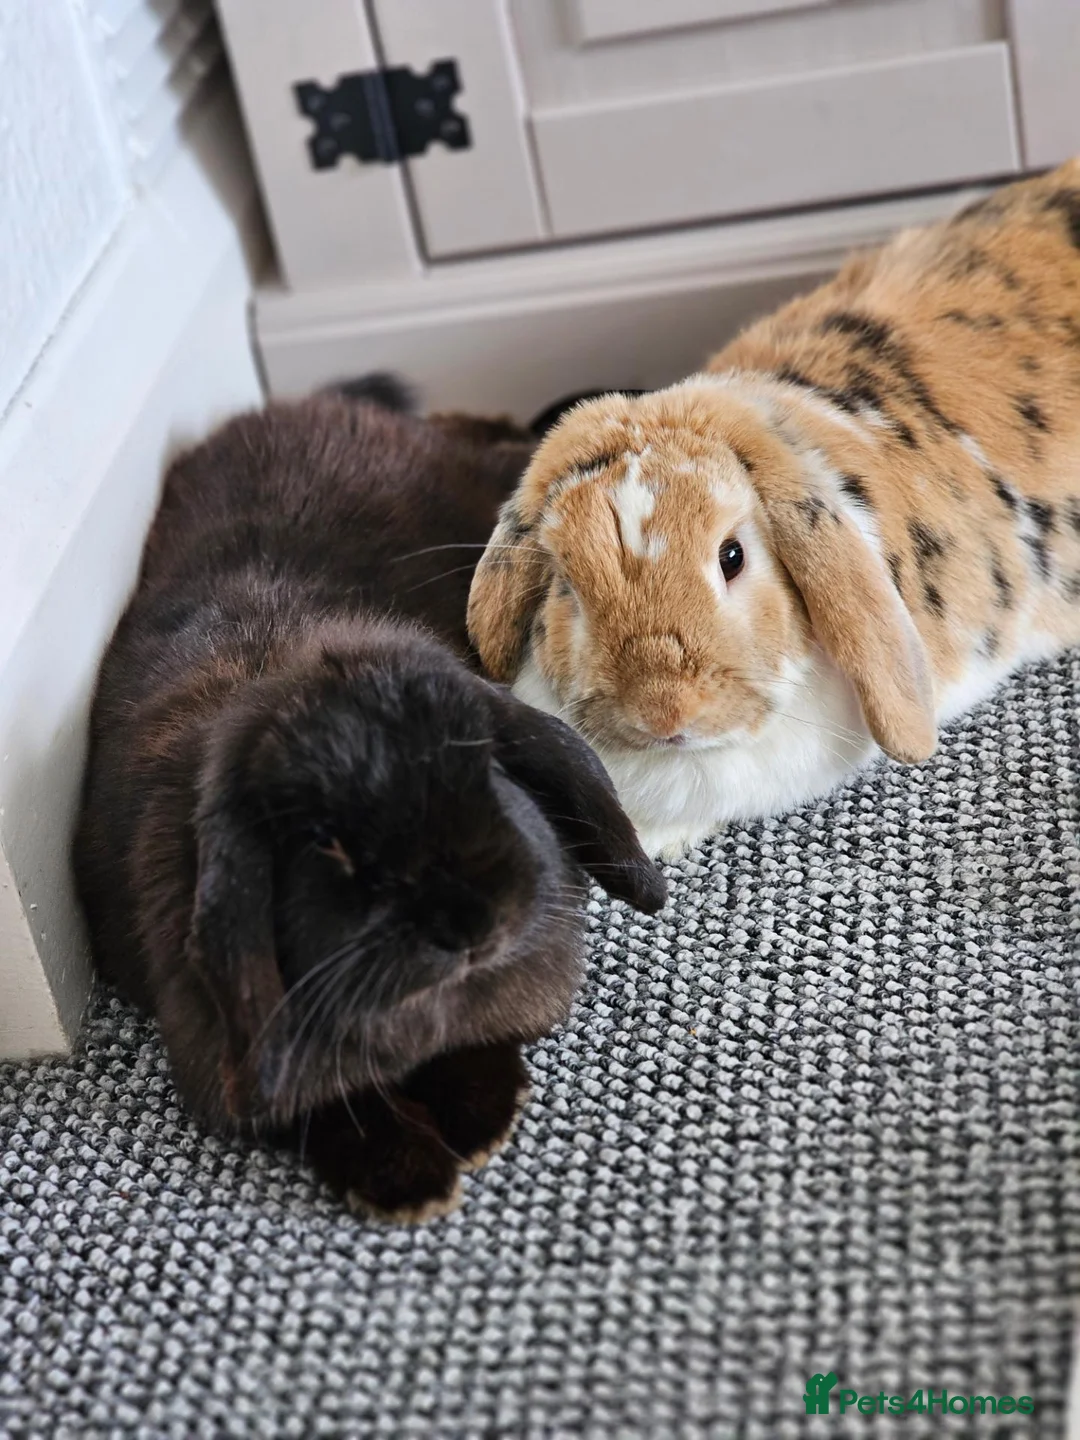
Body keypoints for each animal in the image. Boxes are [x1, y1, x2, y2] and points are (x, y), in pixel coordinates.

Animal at [73, 378, 665, 1222]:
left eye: (486, 769)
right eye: (326, 843)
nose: (473, 926)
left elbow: (471, 1046)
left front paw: (482, 1115)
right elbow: (329, 1111)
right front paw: (411, 1180)